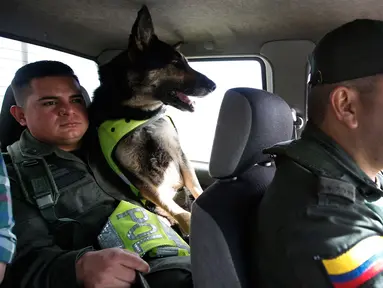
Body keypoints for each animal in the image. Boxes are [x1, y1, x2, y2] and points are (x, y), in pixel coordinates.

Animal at [89, 5, 218, 235]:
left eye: (186, 62)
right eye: (175, 63)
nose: (214, 86)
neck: (140, 116)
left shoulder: (179, 153)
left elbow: (195, 187)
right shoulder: (136, 176)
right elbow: (169, 204)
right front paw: (188, 221)